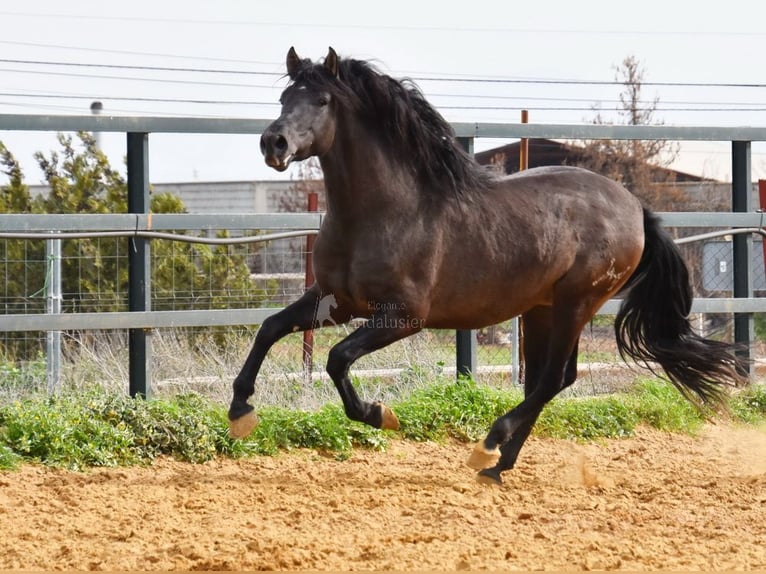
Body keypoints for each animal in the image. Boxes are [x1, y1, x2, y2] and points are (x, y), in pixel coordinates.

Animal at [230, 47, 752, 484]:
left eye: (321, 100)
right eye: (284, 97)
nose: (273, 143)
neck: (385, 211)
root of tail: (634, 207)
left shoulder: (403, 317)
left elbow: (337, 358)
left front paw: (381, 415)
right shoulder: (335, 302)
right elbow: (270, 328)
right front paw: (240, 411)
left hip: (577, 302)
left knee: (551, 379)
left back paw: (488, 446)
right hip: (542, 309)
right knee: (552, 379)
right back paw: (498, 466)